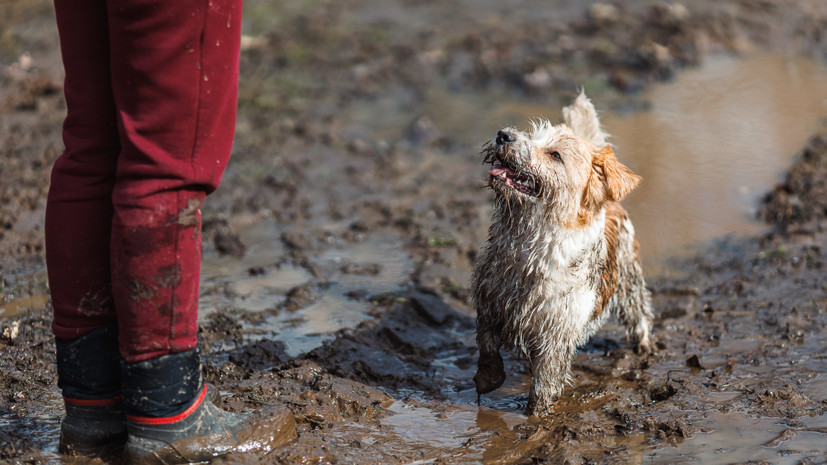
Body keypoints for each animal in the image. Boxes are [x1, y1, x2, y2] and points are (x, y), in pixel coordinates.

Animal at [472, 90, 652, 414]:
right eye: (532, 136)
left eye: (555, 155)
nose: (504, 135)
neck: (530, 244)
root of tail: (609, 201)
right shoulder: (487, 301)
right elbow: (487, 345)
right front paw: (487, 380)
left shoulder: (555, 335)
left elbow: (544, 384)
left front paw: (536, 416)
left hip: (630, 281)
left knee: (640, 316)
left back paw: (644, 348)